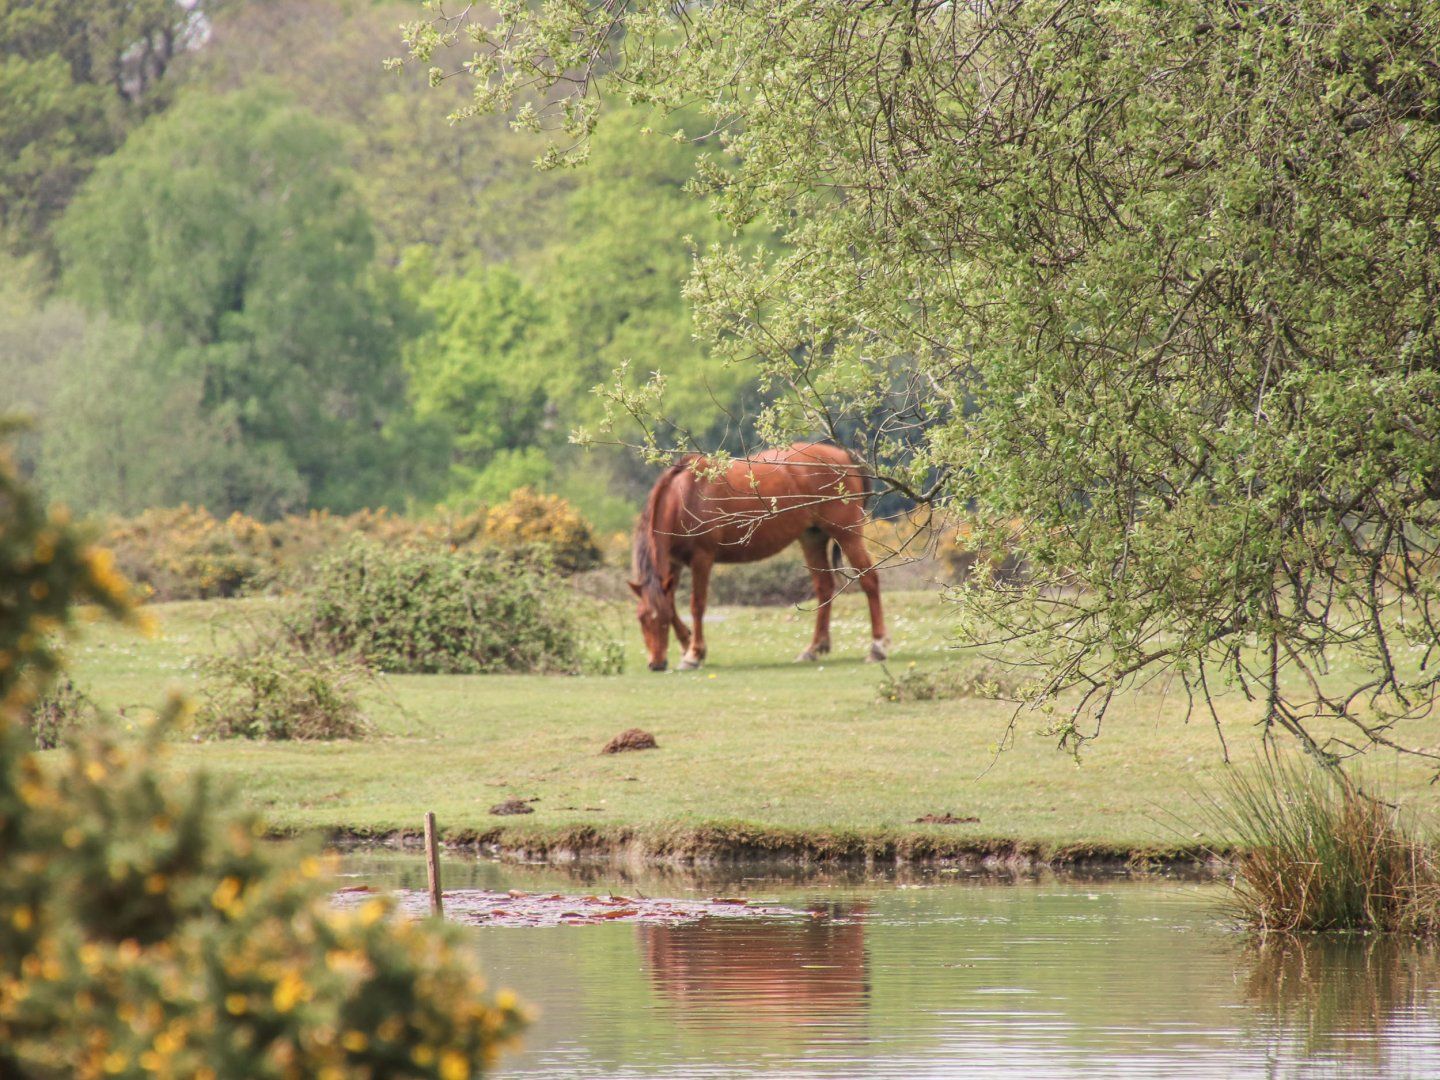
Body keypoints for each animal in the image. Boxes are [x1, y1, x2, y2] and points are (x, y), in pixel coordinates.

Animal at [630, 440, 887, 668]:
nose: (656, 664)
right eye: (641, 619)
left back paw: (877, 647)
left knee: (869, 580)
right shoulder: (673, 563)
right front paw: (687, 645)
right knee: (824, 587)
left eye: (661, 622)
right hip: (812, 537)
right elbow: (672, 603)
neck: (685, 496)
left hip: (848, 535)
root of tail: (846, 457)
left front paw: (694, 654)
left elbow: (697, 604)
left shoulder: (702, 559)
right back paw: (813, 648)